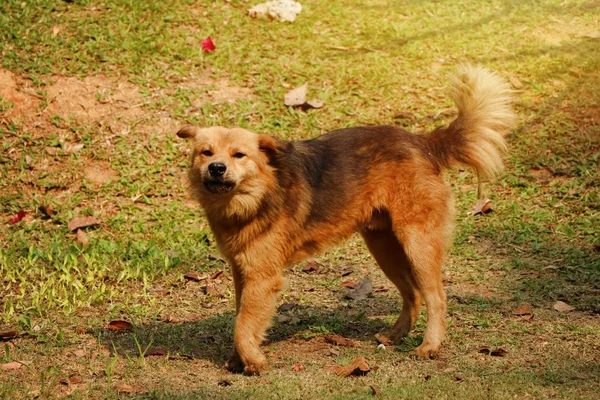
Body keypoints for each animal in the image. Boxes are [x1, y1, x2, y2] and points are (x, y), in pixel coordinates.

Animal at [176, 65, 512, 376]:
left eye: (239, 155)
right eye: (206, 153)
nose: (217, 168)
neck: (254, 197)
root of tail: (422, 142)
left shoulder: (262, 277)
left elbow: (243, 325)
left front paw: (254, 362)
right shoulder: (241, 271)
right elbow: (241, 318)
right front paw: (239, 360)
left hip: (417, 243)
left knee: (436, 296)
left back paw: (429, 346)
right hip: (384, 246)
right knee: (413, 293)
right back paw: (395, 335)